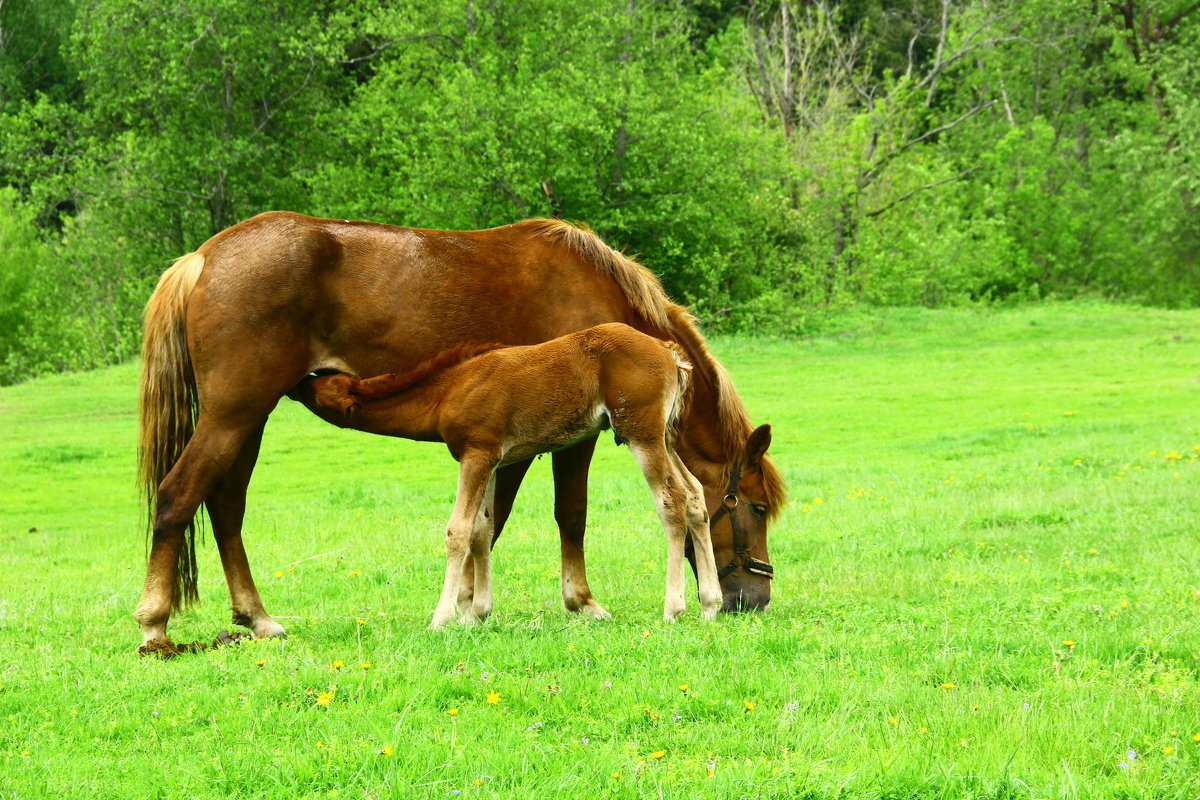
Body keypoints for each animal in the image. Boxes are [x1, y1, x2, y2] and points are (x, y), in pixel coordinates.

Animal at [290, 321, 720, 628]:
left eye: (323, 385)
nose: (296, 382)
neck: (449, 389)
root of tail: (669, 352)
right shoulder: (492, 460)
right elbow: (483, 528)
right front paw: (476, 613)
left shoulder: (476, 454)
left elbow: (458, 531)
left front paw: (442, 617)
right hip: (665, 436)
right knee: (696, 495)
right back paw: (711, 603)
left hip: (640, 434)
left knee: (671, 501)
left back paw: (675, 607)